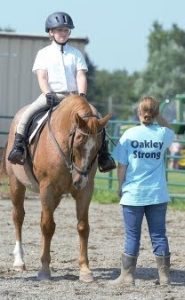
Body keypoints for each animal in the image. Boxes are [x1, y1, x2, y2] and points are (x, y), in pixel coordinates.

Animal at [1, 95, 111, 282]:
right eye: (78, 143)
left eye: (98, 147)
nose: (79, 181)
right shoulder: (48, 188)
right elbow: (48, 226)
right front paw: (45, 270)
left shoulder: (85, 191)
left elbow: (83, 227)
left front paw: (85, 270)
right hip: (16, 183)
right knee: (18, 217)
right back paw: (19, 261)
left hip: (57, 196)